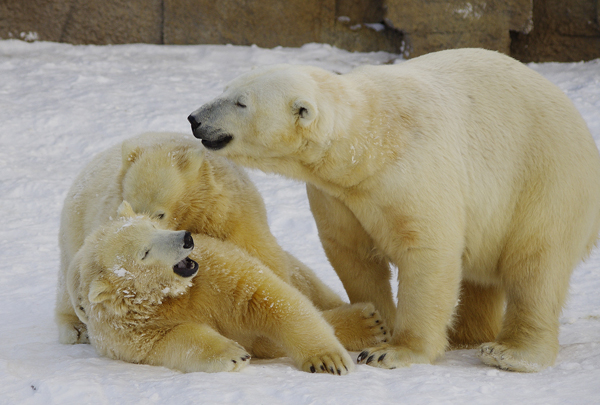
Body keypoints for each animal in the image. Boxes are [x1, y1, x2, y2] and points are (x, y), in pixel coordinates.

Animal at [68, 200, 354, 374]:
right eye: (144, 253)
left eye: (151, 225)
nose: (186, 238)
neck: (163, 296)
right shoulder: (126, 332)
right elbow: (174, 339)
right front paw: (235, 354)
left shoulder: (214, 272)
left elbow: (266, 297)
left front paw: (328, 360)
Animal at [190, 47, 600, 370]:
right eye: (225, 89)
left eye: (240, 102)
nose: (195, 119)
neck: (370, 143)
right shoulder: (338, 195)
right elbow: (351, 253)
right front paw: (378, 327)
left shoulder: (414, 172)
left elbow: (426, 251)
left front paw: (395, 352)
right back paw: (466, 333)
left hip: (546, 180)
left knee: (536, 265)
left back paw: (510, 353)